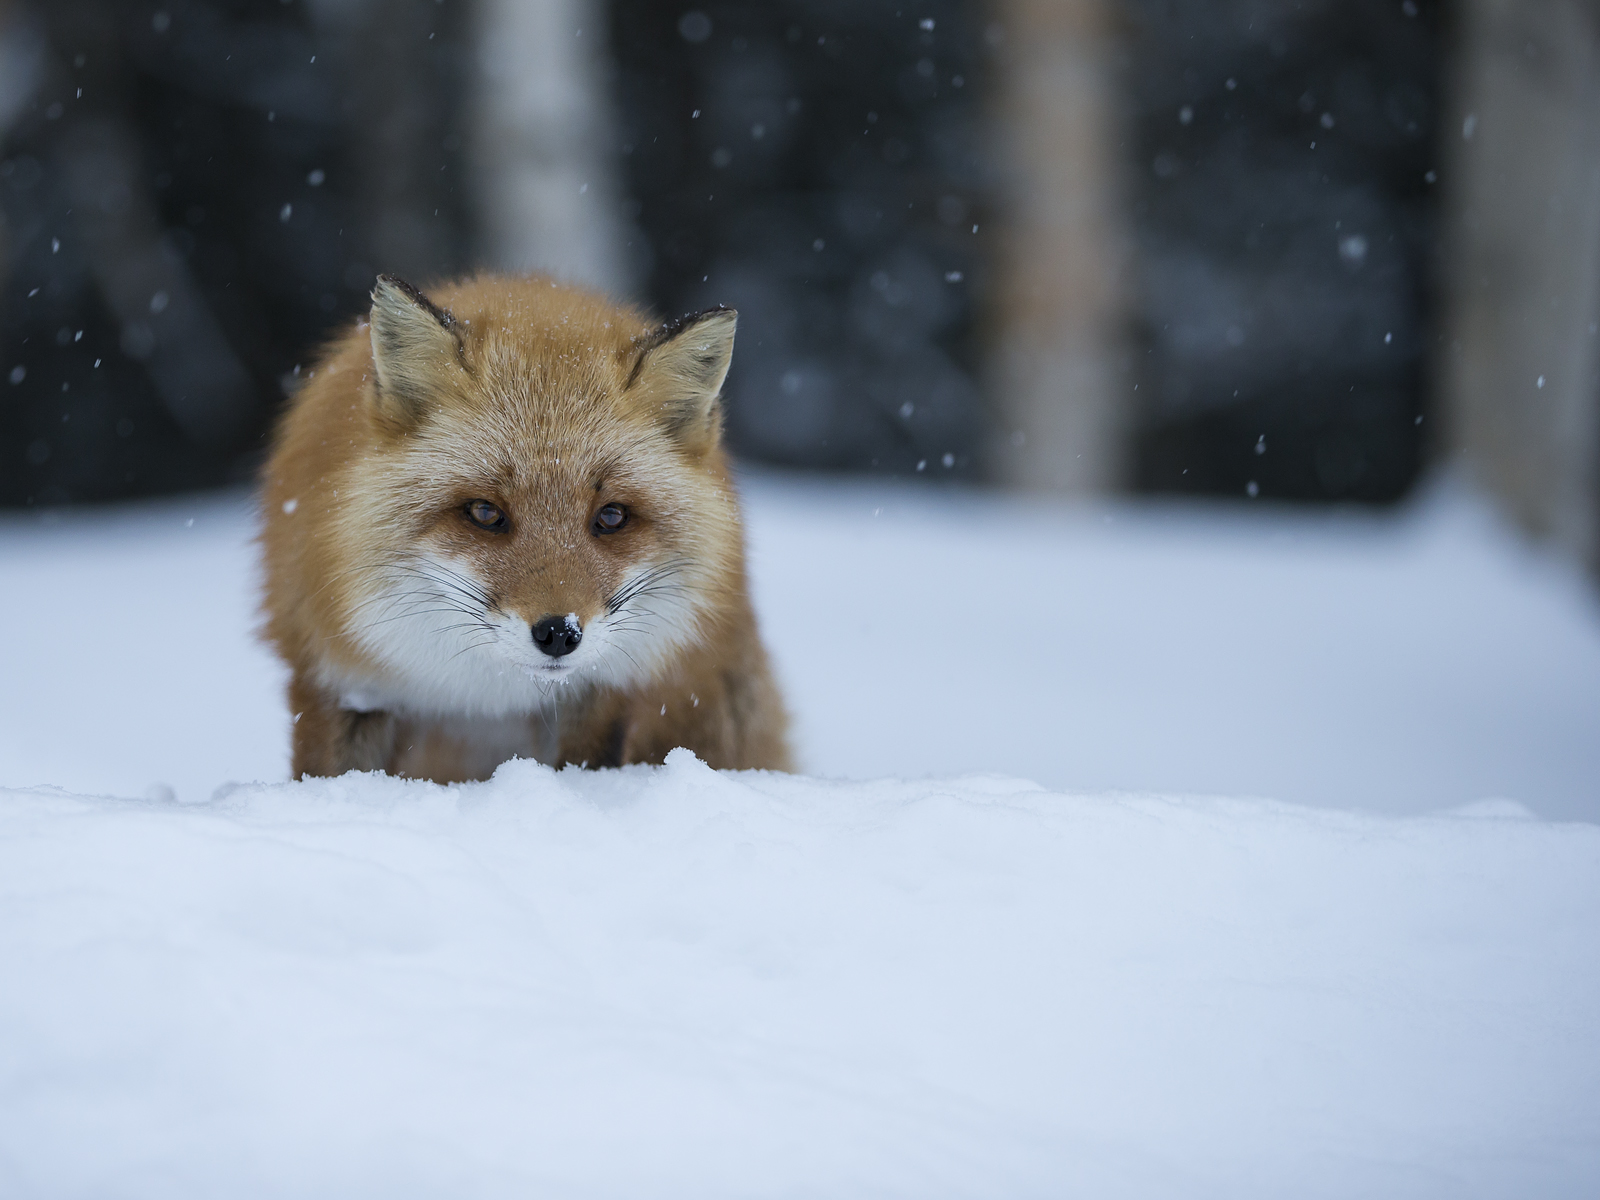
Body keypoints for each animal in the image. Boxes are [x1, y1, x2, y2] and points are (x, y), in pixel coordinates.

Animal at [256, 280, 793, 790]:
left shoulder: (600, 695)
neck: (487, 696)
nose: (560, 633)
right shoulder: (339, 680)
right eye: (485, 512)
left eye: (612, 516)